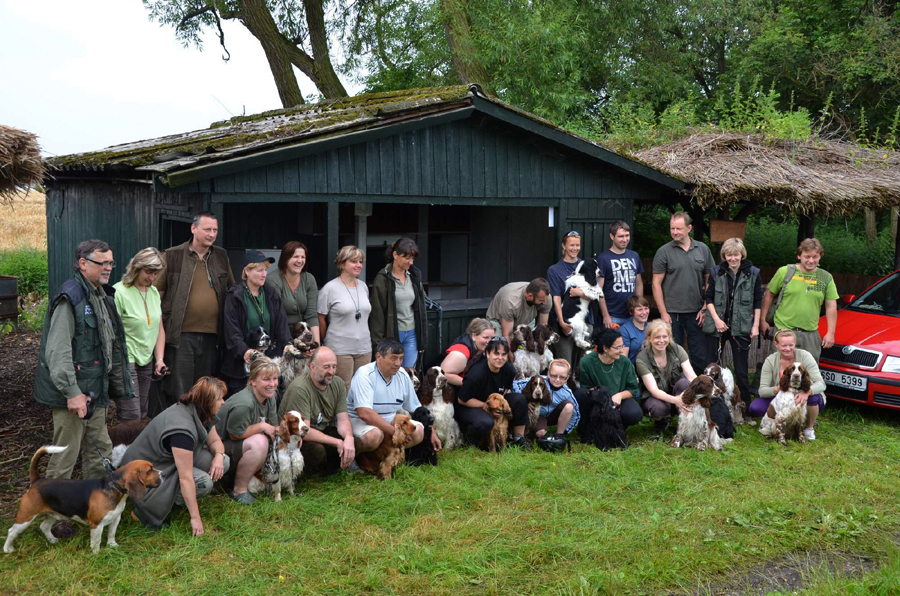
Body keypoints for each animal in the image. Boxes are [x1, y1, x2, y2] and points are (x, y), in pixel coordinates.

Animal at [3, 444, 161, 556]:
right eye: (149, 470)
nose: (162, 474)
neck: (114, 487)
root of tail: (37, 481)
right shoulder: (97, 525)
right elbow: (96, 542)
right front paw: (97, 555)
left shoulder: (115, 518)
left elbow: (111, 533)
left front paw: (112, 546)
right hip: (26, 517)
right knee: (12, 531)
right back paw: (8, 549)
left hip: (53, 514)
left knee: (44, 527)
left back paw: (53, 540)